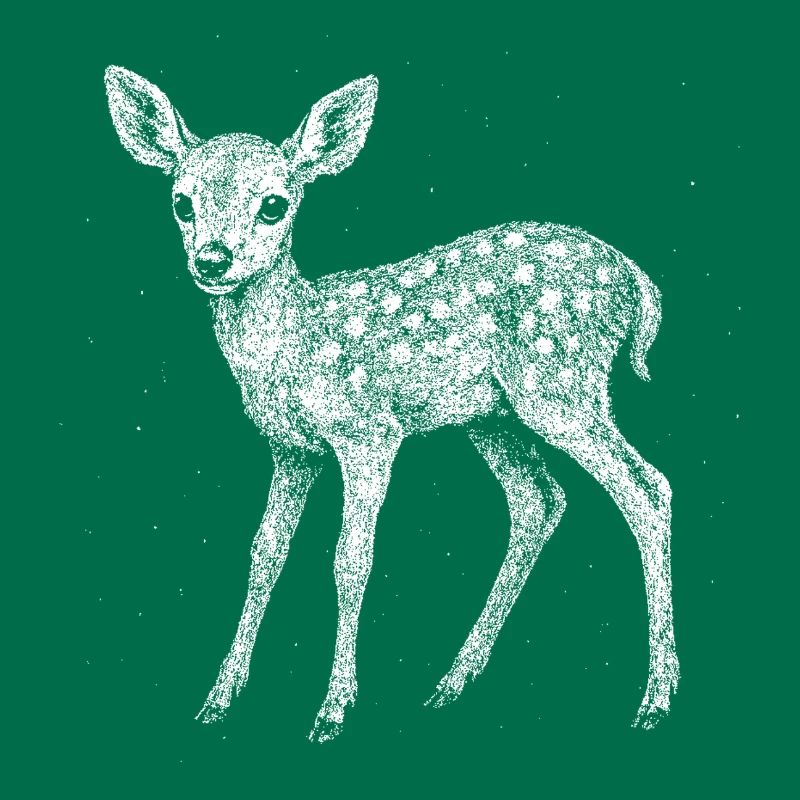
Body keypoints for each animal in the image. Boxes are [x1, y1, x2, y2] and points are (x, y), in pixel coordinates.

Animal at [104, 66, 679, 742]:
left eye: (274, 203)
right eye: (181, 201)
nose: (213, 260)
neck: (295, 343)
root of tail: (640, 285)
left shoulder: (369, 432)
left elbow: (350, 559)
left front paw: (333, 708)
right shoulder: (291, 449)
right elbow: (264, 553)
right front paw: (219, 697)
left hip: (561, 382)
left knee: (646, 487)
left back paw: (656, 698)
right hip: (494, 415)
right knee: (539, 501)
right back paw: (453, 681)